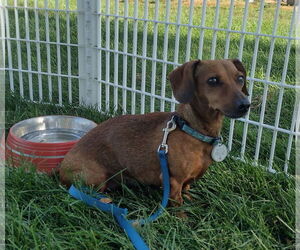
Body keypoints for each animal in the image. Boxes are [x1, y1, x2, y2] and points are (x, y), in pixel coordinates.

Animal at [59, 59, 250, 207]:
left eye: (240, 78)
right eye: (212, 80)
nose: (245, 105)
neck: (193, 129)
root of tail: (60, 167)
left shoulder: (186, 182)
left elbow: (186, 190)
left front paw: (190, 199)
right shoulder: (173, 181)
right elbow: (178, 203)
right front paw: (183, 218)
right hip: (95, 177)